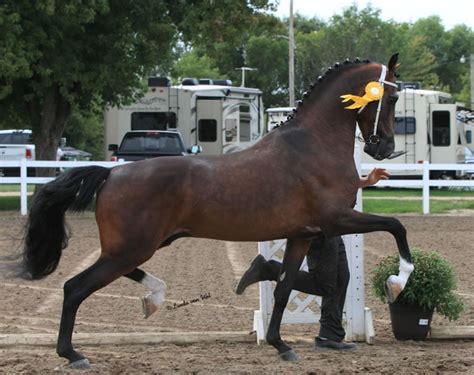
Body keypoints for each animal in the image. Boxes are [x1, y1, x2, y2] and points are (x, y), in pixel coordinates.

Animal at [15, 53, 412, 368]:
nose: (383, 148)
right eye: (391, 96)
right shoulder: (336, 220)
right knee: (74, 288)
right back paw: (73, 354)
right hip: (130, 248)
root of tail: (110, 174)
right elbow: (396, 226)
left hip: (138, 247)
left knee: (105, 278)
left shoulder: (303, 235)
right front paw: (396, 284)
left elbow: (283, 289)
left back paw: (153, 297)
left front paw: (280, 345)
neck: (314, 144)